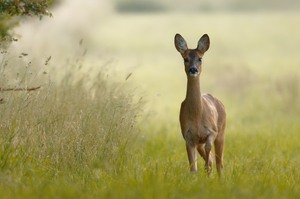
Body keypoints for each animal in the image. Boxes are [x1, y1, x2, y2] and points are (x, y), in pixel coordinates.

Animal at [175, 33, 226, 176]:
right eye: (185, 59)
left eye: (200, 58)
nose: (193, 69)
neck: (197, 115)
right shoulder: (188, 137)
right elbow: (193, 168)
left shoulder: (212, 131)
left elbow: (209, 151)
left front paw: (207, 170)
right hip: (199, 143)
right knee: (214, 160)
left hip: (222, 132)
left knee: (219, 162)